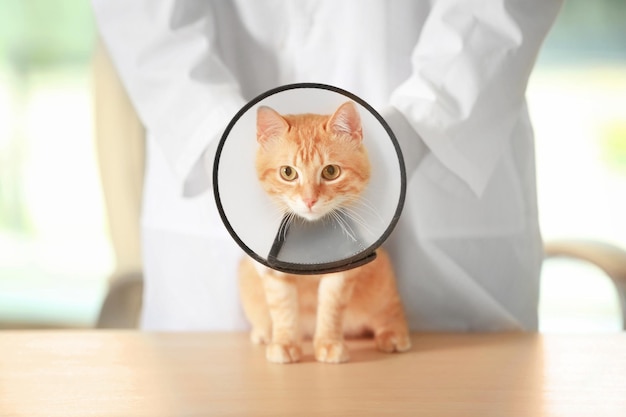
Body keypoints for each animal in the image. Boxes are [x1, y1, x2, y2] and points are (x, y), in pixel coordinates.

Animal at [235, 100, 410, 360]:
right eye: (288, 172)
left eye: (330, 171)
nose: (309, 200)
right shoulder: (273, 273)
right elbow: (283, 309)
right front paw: (285, 343)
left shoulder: (343, 271)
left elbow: (331, 308)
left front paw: (328, 344)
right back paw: (264, 333)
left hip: (381, 281)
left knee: (390, 309)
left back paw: (393, 335)